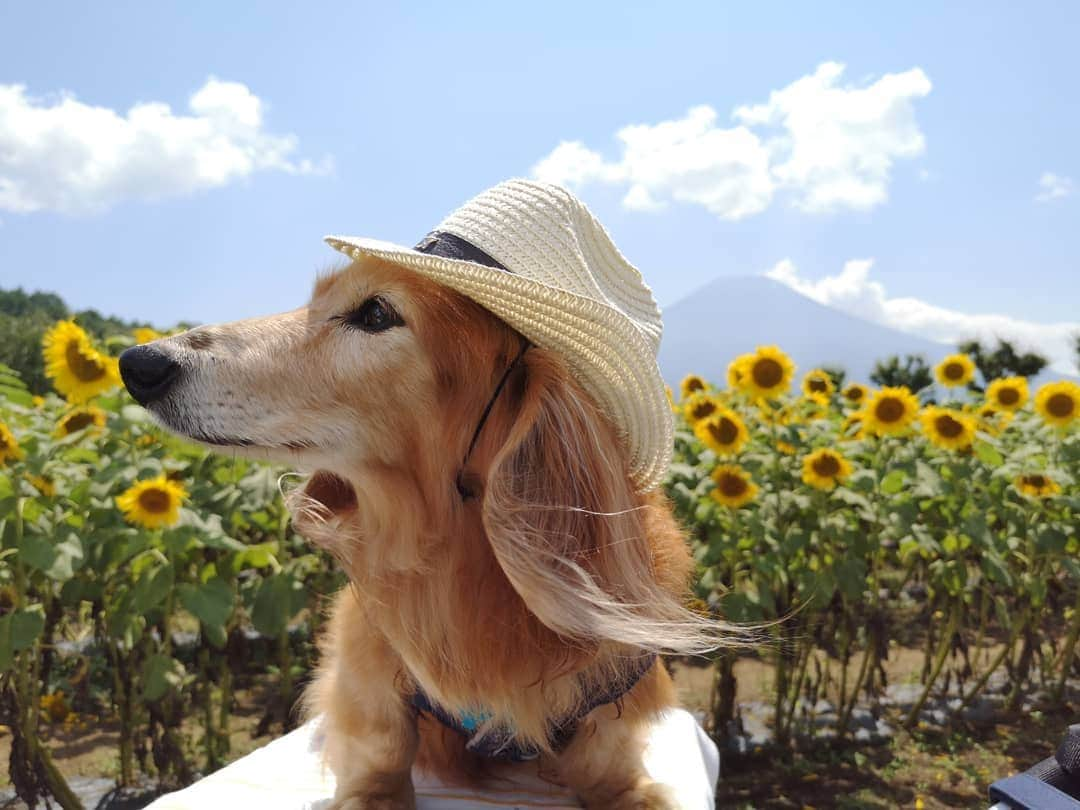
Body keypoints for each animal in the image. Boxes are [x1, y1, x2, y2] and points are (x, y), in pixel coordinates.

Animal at [122, 257, 721, 807]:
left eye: (376, 313)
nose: (138, 361)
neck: (461, 567)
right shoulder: (368, 680)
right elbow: (381, 756)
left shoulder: (613, 720)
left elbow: (615, 777)